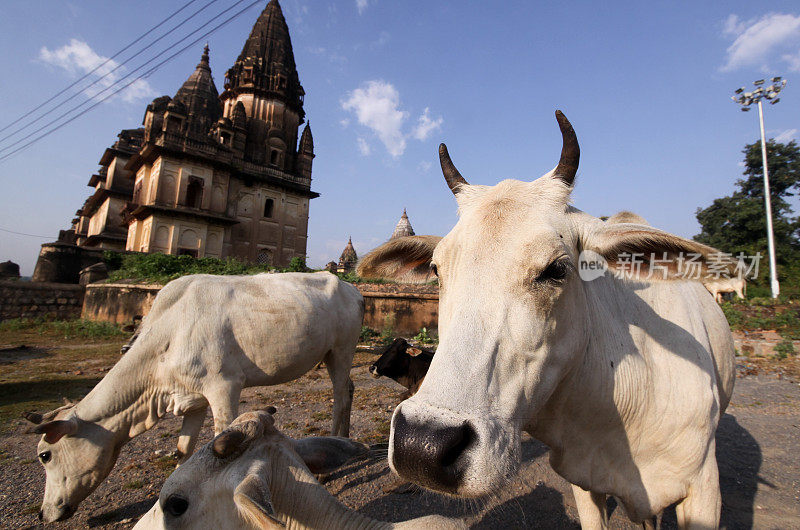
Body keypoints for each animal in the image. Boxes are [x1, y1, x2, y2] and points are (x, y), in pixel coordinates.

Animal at [24, 272, 362, 520]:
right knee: (348, 389)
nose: (43, 514)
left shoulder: (224, 386)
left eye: (45, 455)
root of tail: (351, 288)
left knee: (340, 393)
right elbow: (182, 451)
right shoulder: (191, 399)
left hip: (341, 350)